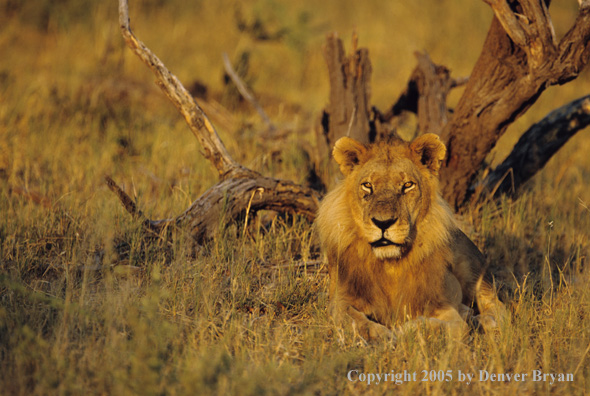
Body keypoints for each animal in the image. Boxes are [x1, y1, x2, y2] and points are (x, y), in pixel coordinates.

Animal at [316, 134, 506, 340]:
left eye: (407, 185)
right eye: (367, 186)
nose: (383, 223)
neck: (390, 266)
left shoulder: (441, 305)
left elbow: (453, 327)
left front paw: (404, 329)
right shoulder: (340, 300)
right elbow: (355, 321)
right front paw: (381, 336)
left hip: (472, 273)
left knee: (498, 309)